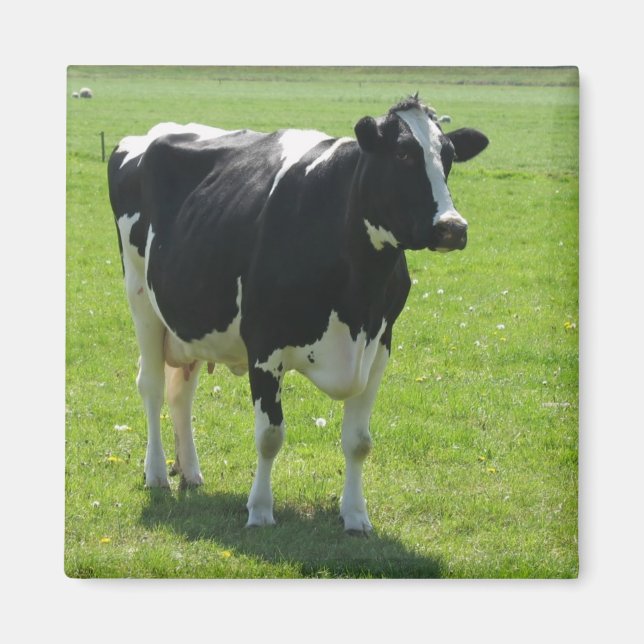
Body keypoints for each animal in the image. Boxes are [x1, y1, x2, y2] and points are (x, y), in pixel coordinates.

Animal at [107, 96, 488, 534]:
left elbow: (359, 442)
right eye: (403, 154)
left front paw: (356, 515)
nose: (453, 227)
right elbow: (269, 435)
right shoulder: (263, 346)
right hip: (141, 299)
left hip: (190, 319)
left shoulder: (379, 346)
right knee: (151, 386)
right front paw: (259, 510)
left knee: (180, 394)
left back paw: (190, 471)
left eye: (450, 156)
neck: (358, 295)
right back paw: (156, 474)